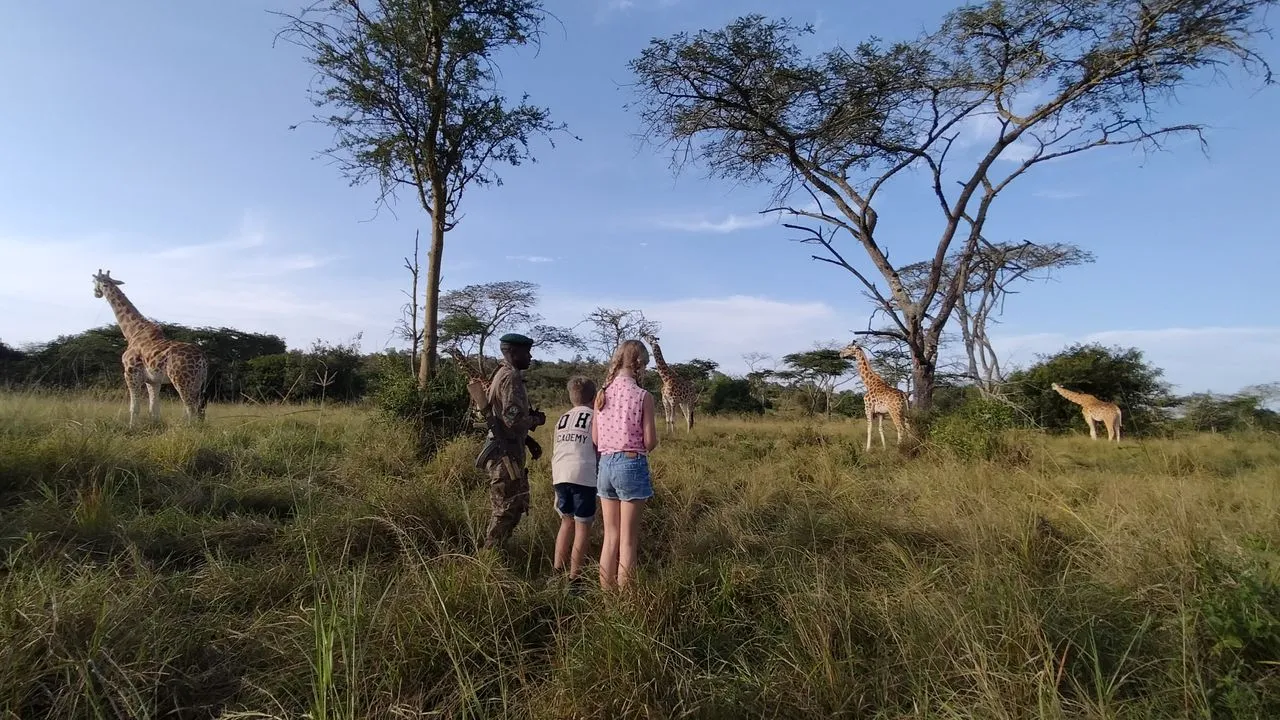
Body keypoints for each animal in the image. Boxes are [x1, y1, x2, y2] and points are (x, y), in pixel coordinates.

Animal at [90, 269, 206, 425]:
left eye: (94, 281)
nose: (96, 293)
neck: (132, 332)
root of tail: (202, 360)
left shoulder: (130, 373)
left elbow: (134, 408)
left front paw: (131, 427)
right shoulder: (153, 381)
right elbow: (154, 409)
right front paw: (155, 426)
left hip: (181, 379)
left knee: (191, 409)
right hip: (198, 382)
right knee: (200, 411)